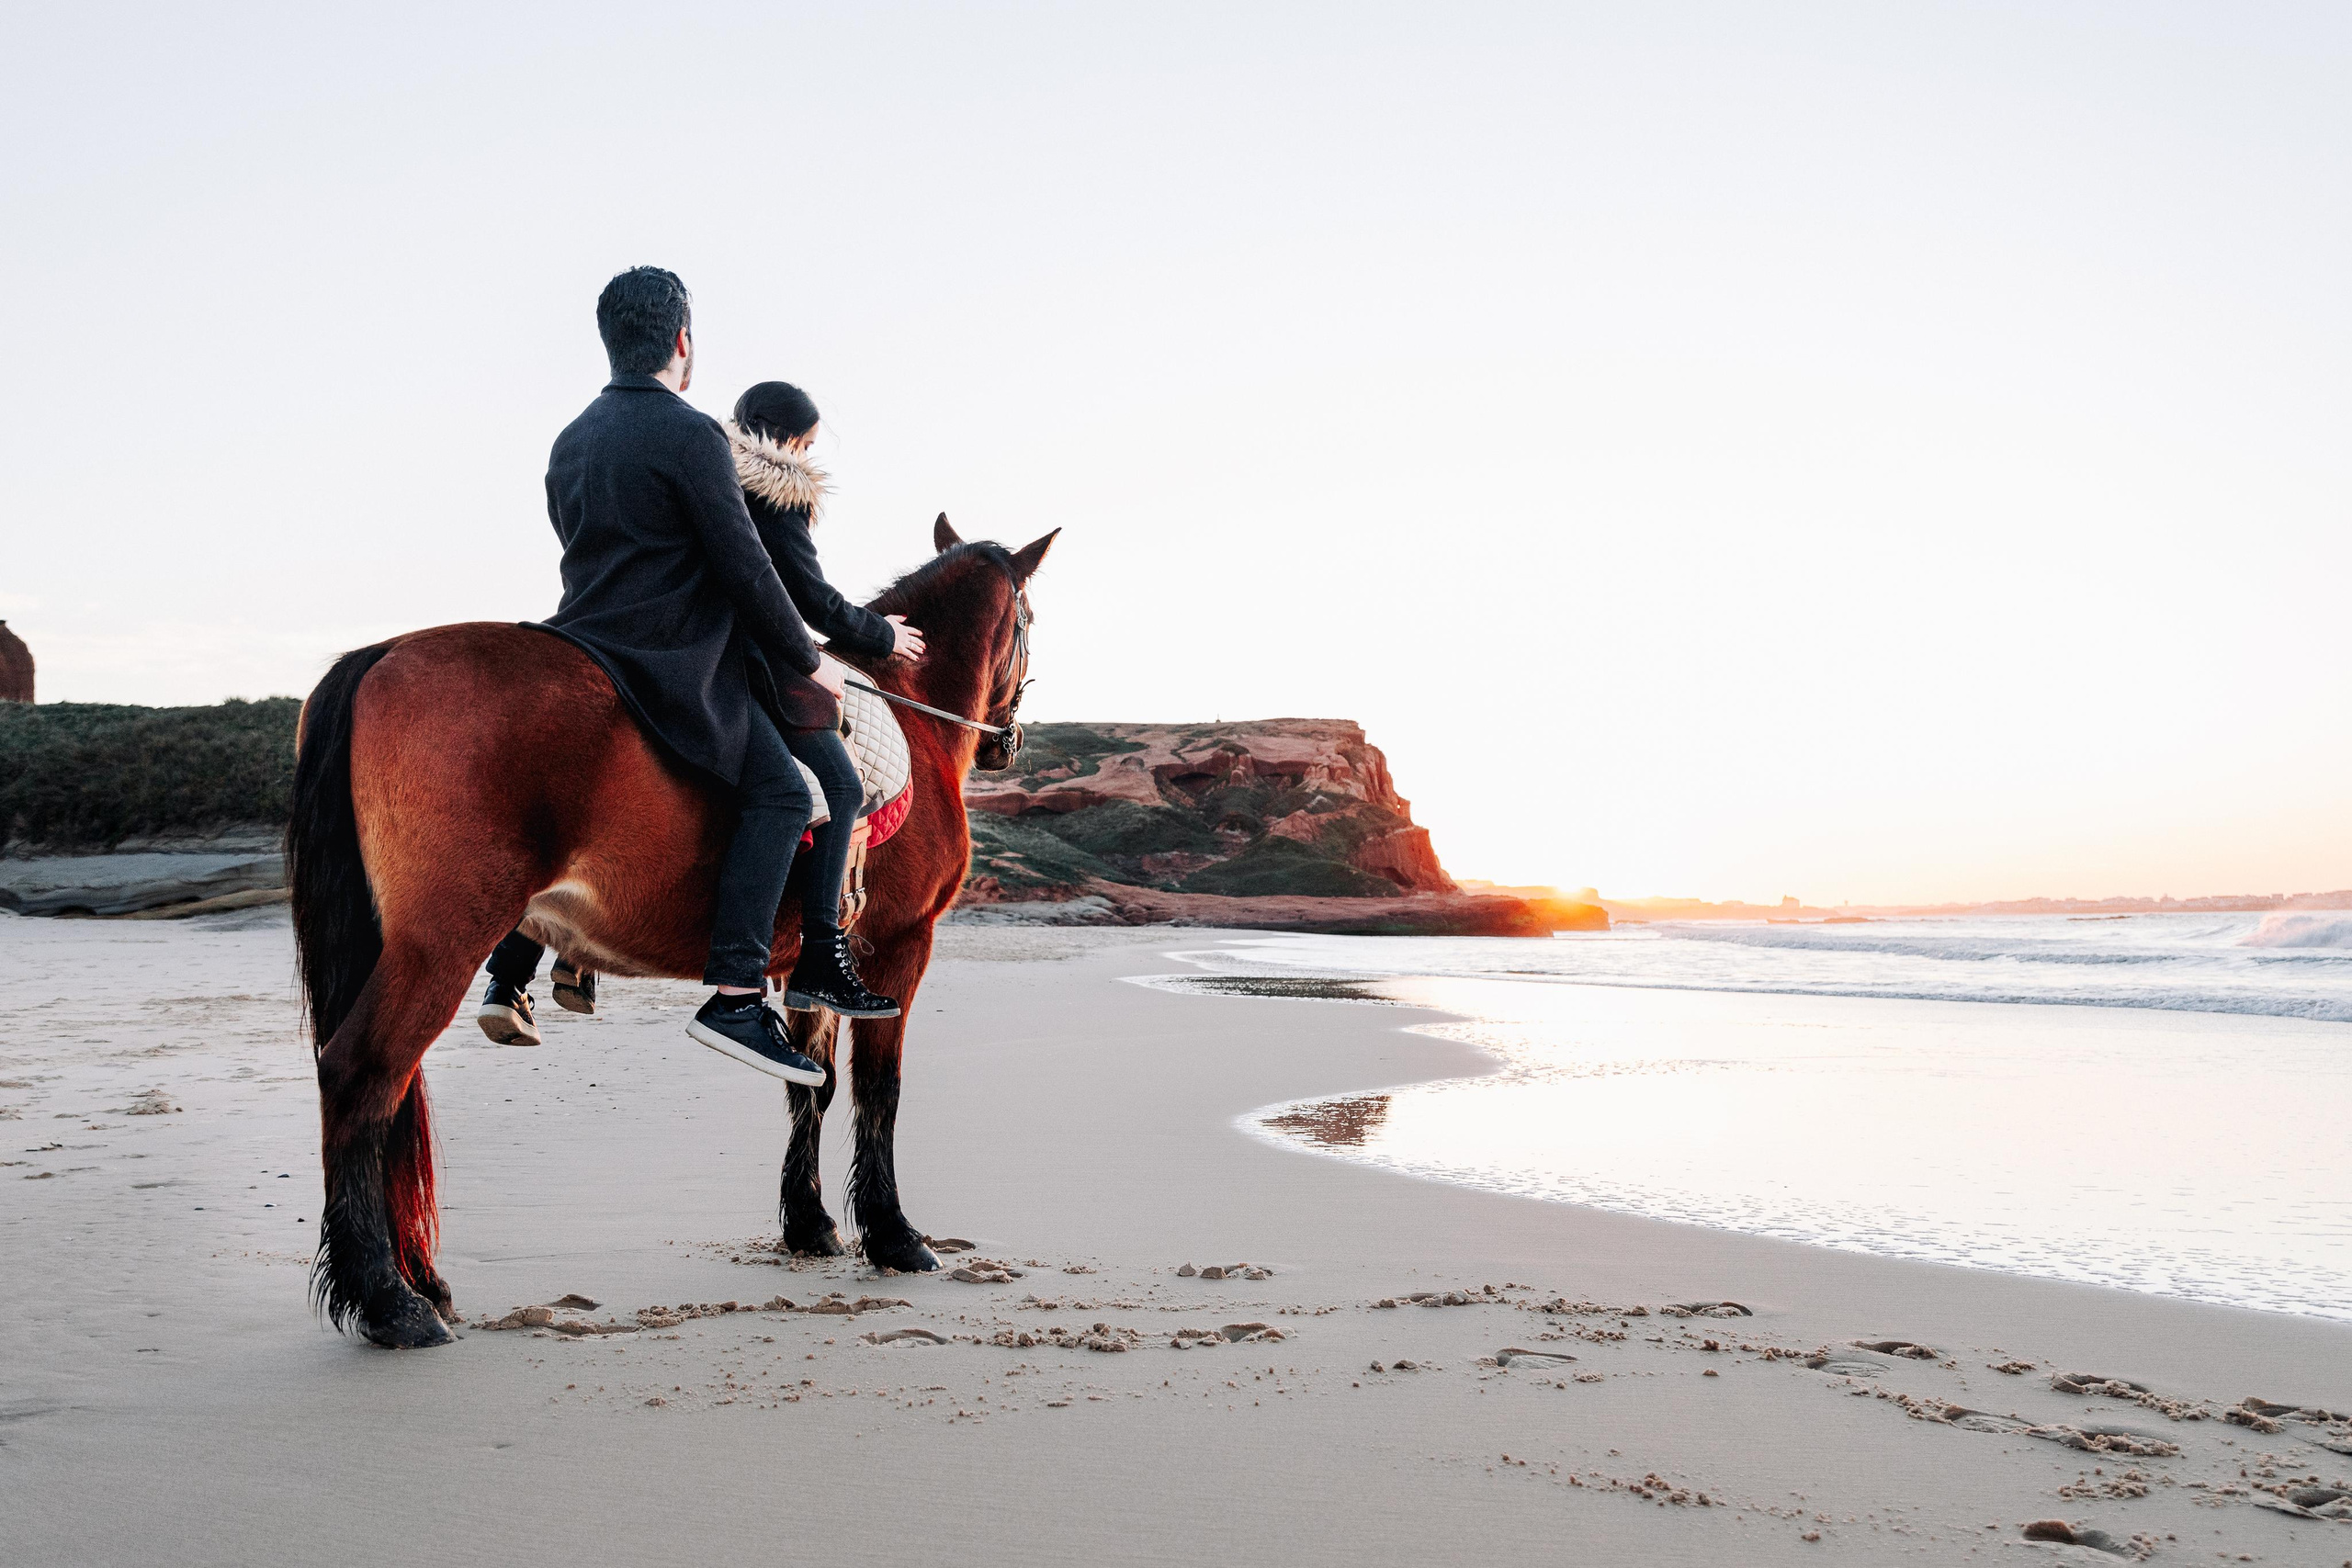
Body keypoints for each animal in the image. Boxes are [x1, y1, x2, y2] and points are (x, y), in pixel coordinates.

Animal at [287, 515, 1053, 1348]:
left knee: (392, 1094)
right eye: (1029, 620)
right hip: (442, 941)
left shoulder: (814, 966)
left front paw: (810, 1223)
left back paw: (419, 1279)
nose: (1007, 740)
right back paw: (391, 1301)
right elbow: (879, 1090)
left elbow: (810, 1085)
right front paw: (893, 1235)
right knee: (362, 1074)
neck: (910, 710)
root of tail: (381, 653)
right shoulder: (899, 950)